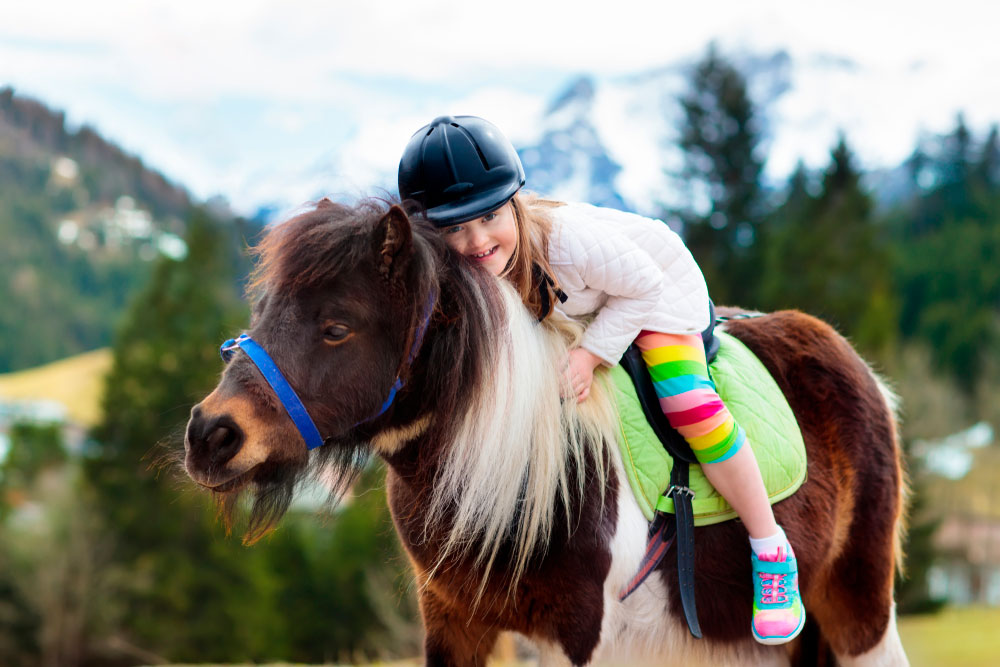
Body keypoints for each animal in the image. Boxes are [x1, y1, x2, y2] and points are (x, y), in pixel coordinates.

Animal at [184, 200, 912, 667]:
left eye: (337, 327)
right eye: (264, 309)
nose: (209, 435)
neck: (519, 460)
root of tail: (851, 362)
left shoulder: (578, 632)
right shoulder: (454, 624)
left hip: (858, 612)